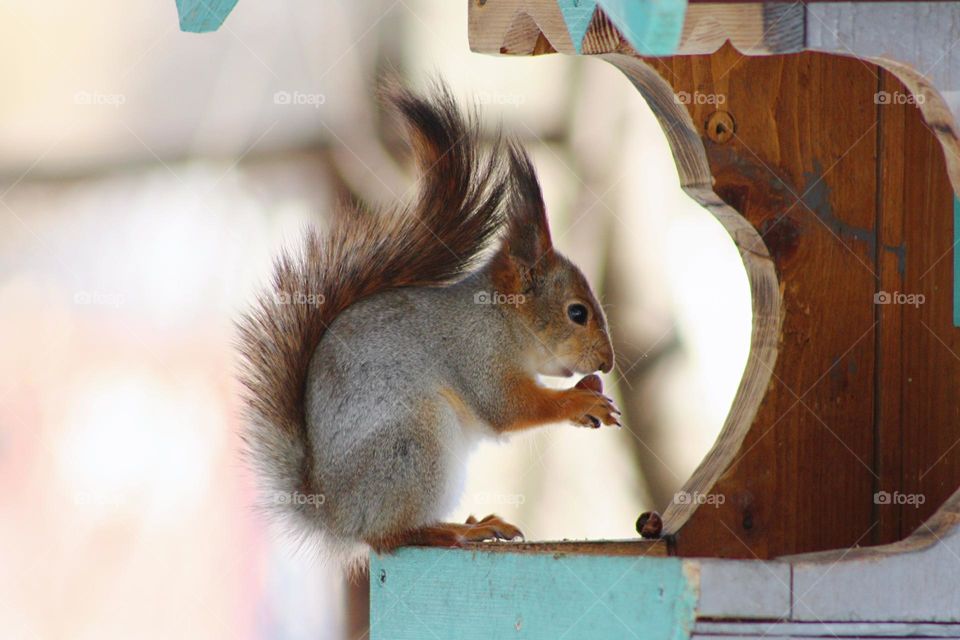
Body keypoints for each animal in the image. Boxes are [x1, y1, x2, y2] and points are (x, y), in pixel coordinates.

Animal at [238, 81, 619, 568]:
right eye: (577, 312)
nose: (607, 363)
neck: (501, 318)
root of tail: (333, 513)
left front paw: (589, 394)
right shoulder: (477, 353)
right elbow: (509, 407)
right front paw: (580, 401)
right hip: (414, 445)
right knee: (390, 536)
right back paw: (455, 531)